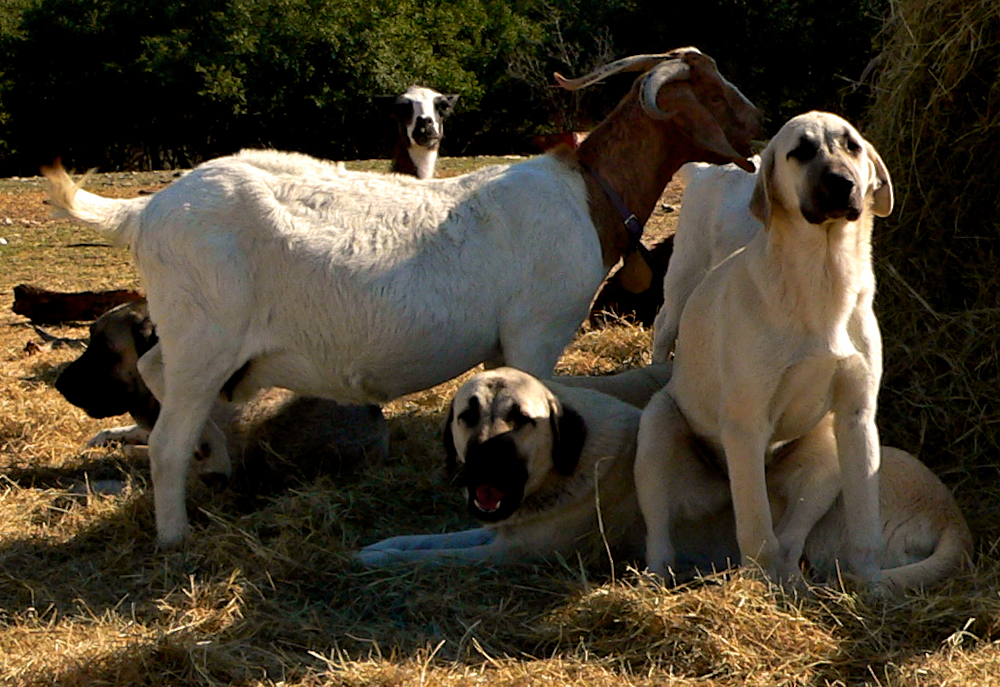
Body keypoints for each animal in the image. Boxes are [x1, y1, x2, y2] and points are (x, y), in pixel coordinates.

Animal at [39, 45, 756, 544]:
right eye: (711, 86)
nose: (757, 120)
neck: (585, 194)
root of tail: (144, 211)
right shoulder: (537, 330)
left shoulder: (504, 342)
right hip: (203, 339)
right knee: (164, 436)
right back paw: (175, 536)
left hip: (197, 340)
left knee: (157, 379)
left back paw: (212, 466)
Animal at [354, 368, 648, 568]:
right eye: (468, 415)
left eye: (521, 418)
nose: (486, 459)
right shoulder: (499, 531)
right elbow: (431, 539)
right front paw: (382, 547)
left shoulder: (511, 551)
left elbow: (433, 555)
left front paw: (383, 559)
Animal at [636, 111, 896, 584]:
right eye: (801, 151)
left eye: (852, 146)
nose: (842, 183)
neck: (823, 277)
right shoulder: (745, 422)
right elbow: (756, 531)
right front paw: (757, 586)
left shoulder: (857, 416)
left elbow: (865, 524)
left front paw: (873, 587)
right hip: (657, 427)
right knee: (661, 537)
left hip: (827, 452)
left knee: (791, 539)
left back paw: (794, 584)